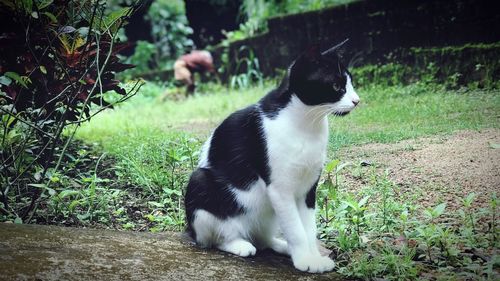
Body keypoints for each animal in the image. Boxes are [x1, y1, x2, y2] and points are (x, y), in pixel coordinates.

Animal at [184, 40, 360, 272]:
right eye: (336, 87)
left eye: (351, 84)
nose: (357, 100)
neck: (306, 124)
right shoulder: (280, 190)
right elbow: (296, 230)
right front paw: (304, 261)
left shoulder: (308, 189)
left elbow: (308, 228)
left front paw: (313, 258)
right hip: (201, 185)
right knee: (214, 238)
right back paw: (239, 244)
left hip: (268, 217)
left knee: (262, 239)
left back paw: (280, 245)